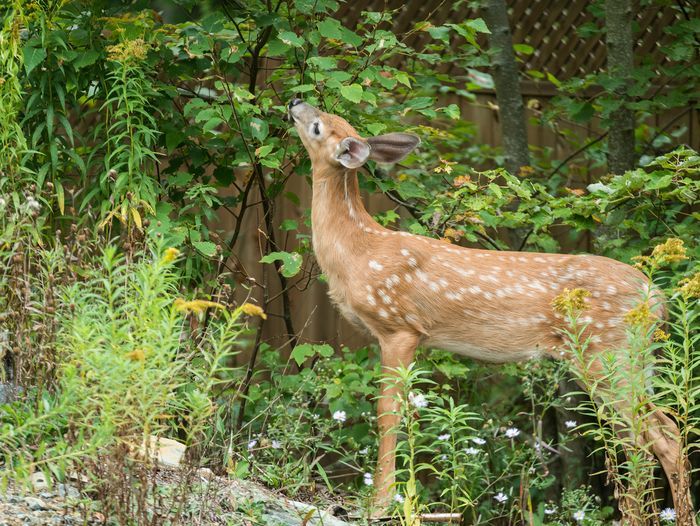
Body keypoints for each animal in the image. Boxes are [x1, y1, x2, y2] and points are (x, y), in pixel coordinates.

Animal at [286, 98, 696, 524]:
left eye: (318, 127)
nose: (295, 102)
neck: (357, 250)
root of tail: (657, 297)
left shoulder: (399, 327)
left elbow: (388, 413)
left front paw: (380, 505)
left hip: (607, 353)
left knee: (647, 436)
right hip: (634, 359)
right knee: (662, 429)